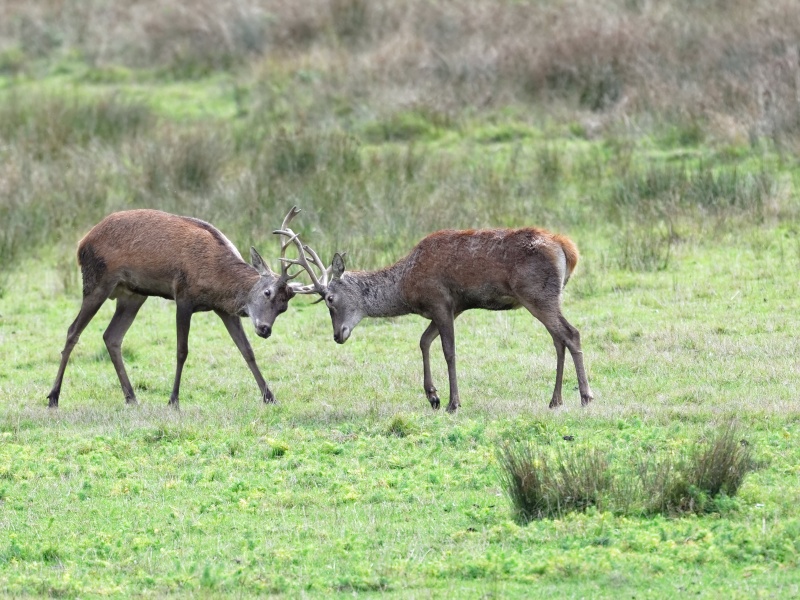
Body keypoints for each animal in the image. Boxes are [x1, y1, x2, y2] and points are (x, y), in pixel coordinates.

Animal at [48, 206, 306, 408]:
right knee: (73, 331)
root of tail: (81, 244)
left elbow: (247, 351)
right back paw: (53, 397)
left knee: (111, 336)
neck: (218, 280)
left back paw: (131, 397)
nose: (265, 329)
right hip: (97, 281)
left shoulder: (225, 310)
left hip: (133, 295)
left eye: (283, 308)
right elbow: (182, 351)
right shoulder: (183, 296)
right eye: (267, 292)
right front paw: (173, 400)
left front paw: (270, 397)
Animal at [276, 224, 592, 412]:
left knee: (571, 333)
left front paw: (453, 402)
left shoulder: (440, 301)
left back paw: (586, 396)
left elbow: (448, 351)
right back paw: (555, 400)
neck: (407, 285)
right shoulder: (452, 307)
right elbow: (423, 341)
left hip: (536, 294)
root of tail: (568, 249)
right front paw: (433, 396)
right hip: (547, 297)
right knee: (559, 339)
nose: (337, 335)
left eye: (330, 299)